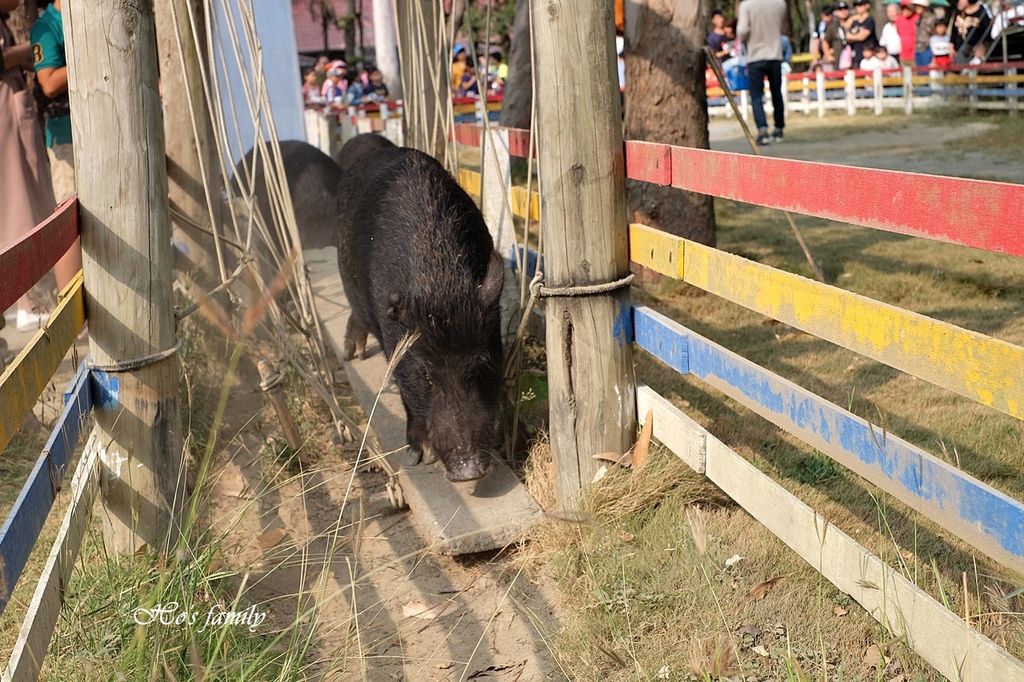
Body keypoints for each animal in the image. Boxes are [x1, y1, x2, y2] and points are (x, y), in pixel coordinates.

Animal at [337, 137, 505, 477]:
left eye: (481, 365)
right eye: (426, 375)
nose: (468, 471)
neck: (439, 286)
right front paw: (419, 455)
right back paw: (352, 355)